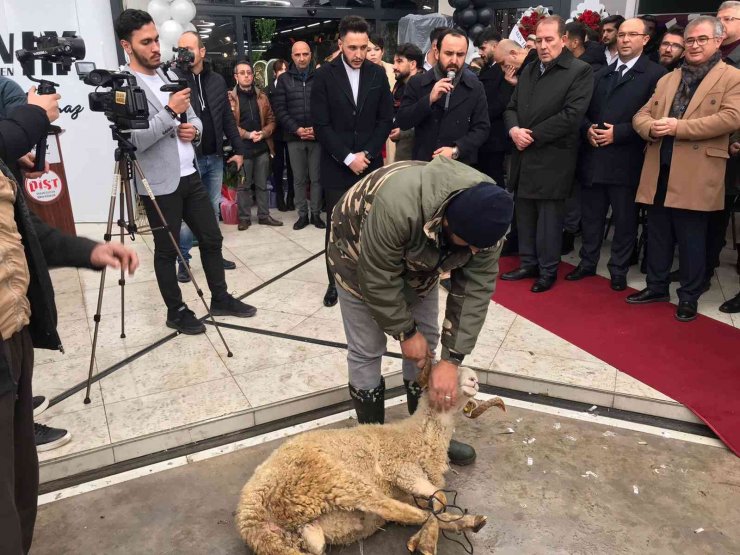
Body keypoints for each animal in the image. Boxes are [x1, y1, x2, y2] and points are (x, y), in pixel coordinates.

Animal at [234, 364, 506, 555]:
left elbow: (436, 504)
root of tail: (250, 518)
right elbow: (439, 500)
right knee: (397, 510)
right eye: (442, 376)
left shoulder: (409, 488)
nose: (474, 380)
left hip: (306, 526)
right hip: (333, 479)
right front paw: (426, 536)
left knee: (317, 543)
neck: (417, 435)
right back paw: (435, 538)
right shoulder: (401, 468)